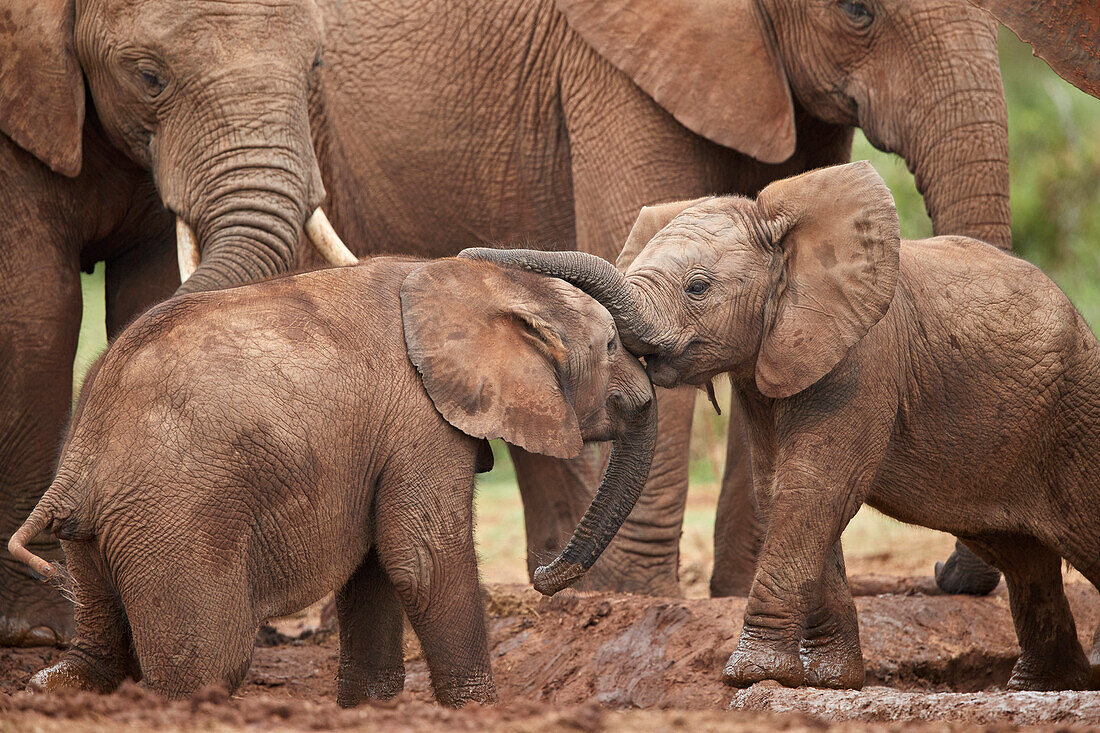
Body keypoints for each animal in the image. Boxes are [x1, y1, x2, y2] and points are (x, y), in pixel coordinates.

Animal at [8, 255, 655, 704]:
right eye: (612, 345)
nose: (543, 571)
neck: (482, 282)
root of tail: (78, 469)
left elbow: (377, 567)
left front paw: (369, 709)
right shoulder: (419, 420)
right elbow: (421, 558)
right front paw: (478, 712)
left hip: (102, 531)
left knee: (97, 656)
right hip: (175, 520)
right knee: (206, 665)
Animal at [464, 161, 1100, 691]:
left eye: (698, 287)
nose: (540, 575)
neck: (785, 232)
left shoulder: (864, 358)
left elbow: (814, 488)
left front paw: (751, 675)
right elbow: (779, 492)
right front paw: (828, 682)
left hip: (1076, 417)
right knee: (1024, 560)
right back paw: (1043, 688)